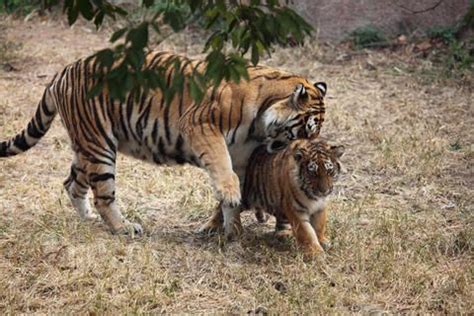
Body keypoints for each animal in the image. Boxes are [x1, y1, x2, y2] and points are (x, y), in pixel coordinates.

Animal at [0, 50, 328, 238]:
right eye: (307, 130)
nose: (302, 152)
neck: (260, 124)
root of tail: (63, 70)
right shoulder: (201, 125)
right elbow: (222, 167)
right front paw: (229, 199)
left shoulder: (243, 156)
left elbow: (233, 193)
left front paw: (227, 227)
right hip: (99, 145)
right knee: (103, 194)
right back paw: (122, 228)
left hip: (88, 145)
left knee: (71, 183)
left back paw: (87, 218)